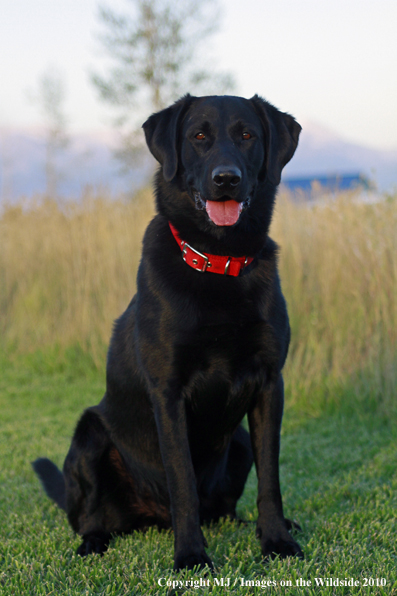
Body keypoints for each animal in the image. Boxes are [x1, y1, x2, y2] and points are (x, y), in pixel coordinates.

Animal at [32, 93, 302, 568]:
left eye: (247, 135)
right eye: (199, 136)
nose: (226, 179)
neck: (218, 262)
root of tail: (151, 518)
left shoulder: (270, 384)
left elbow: (271, 481)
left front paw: (276, 540)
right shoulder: (169, 392)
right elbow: (182, 484)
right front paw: (192, 556)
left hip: (239, 441)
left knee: (224, 508)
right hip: (89, 435)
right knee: (92, 518)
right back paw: (93, 543)